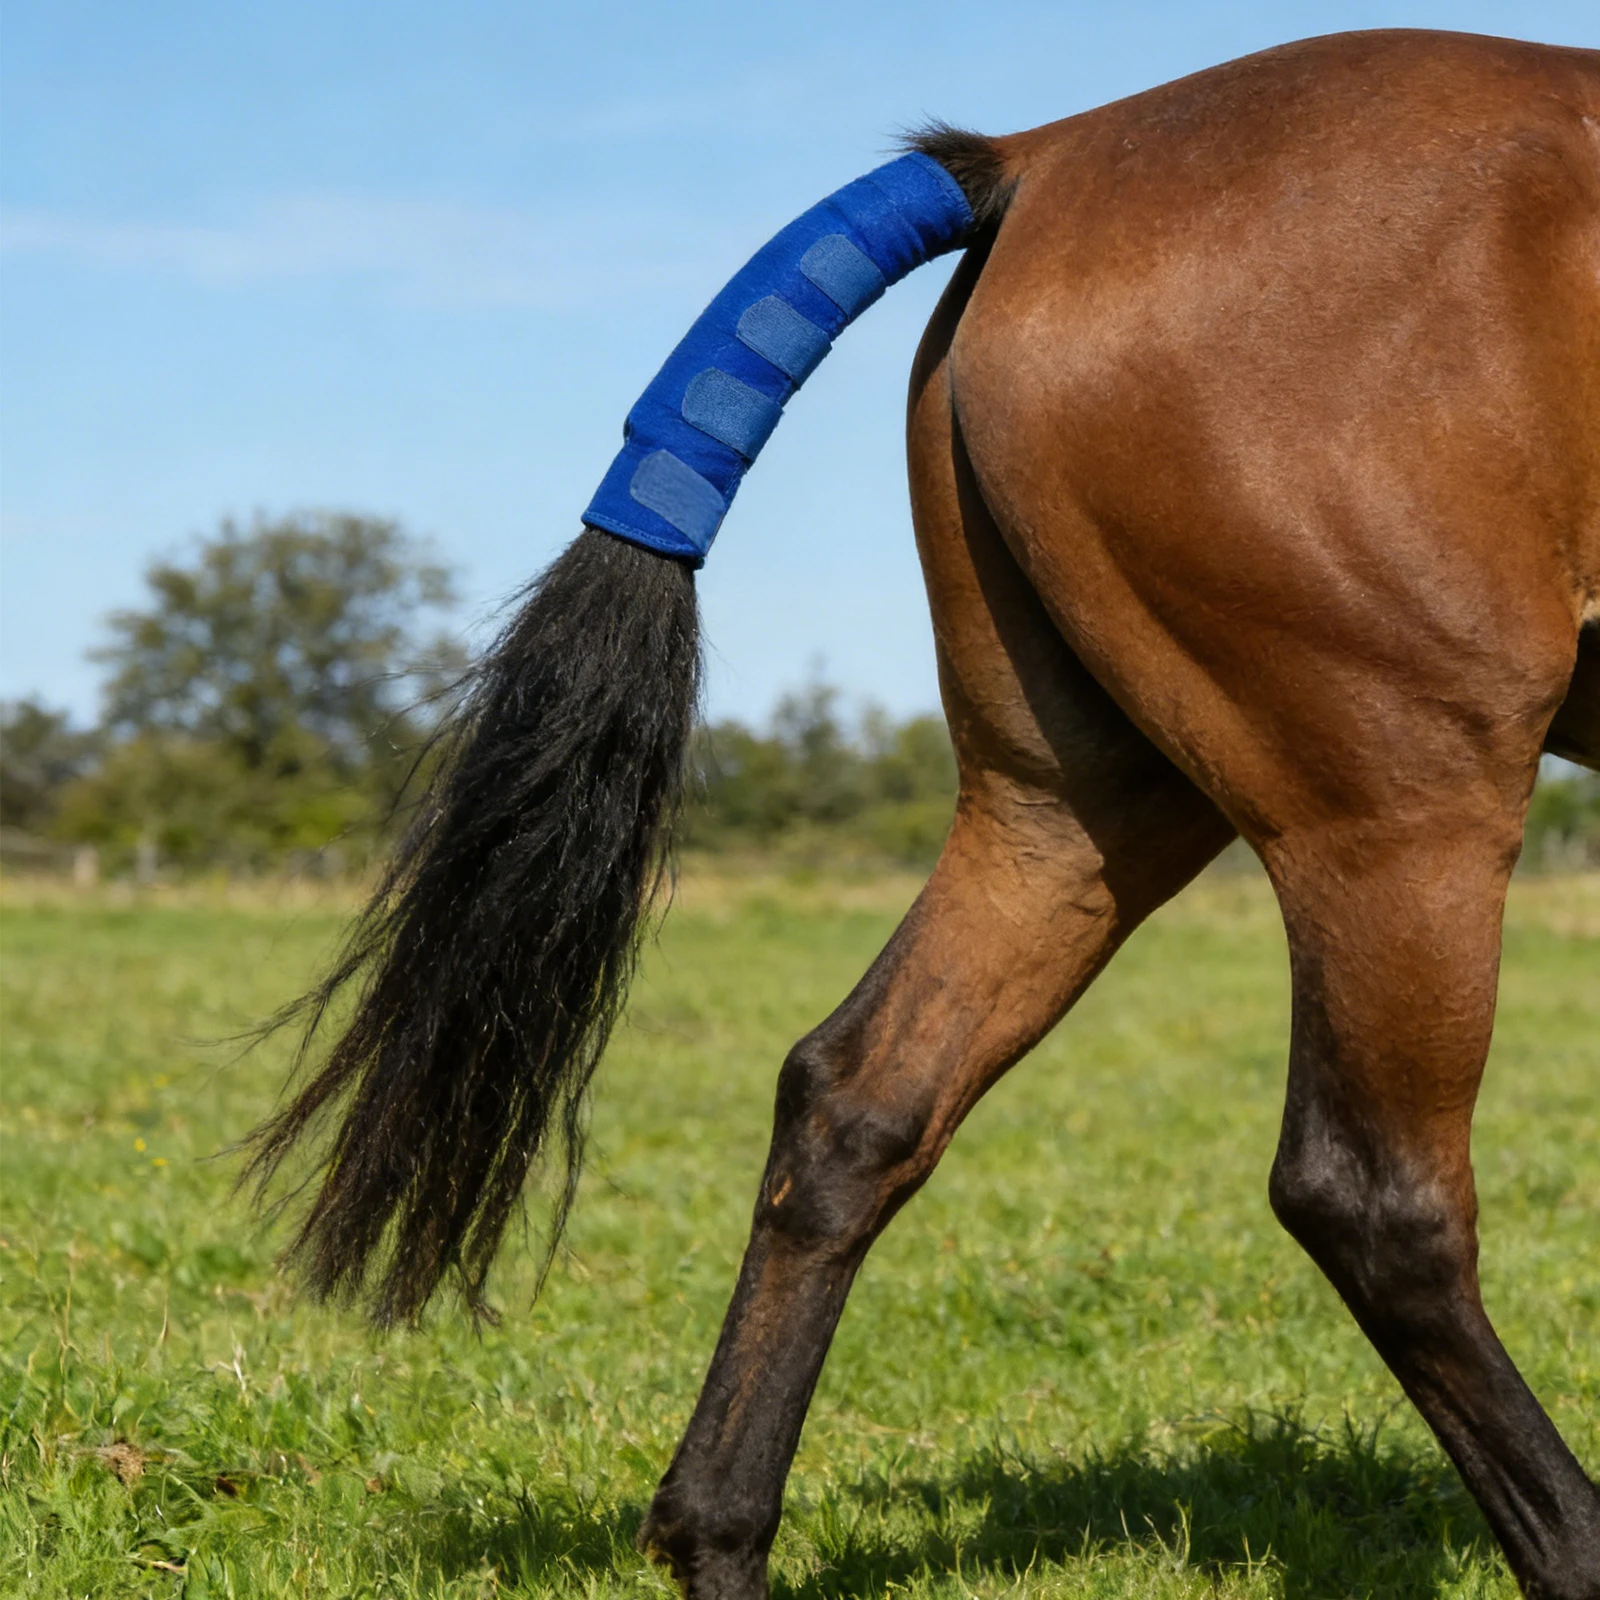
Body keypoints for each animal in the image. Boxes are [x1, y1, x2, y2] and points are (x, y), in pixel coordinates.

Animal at [245, 29, 1600, 1599]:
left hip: (1072, 810)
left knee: (858, 1095)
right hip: (1396, 801)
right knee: (1373, 1194)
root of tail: (1042, 158)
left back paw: (718, 1536)